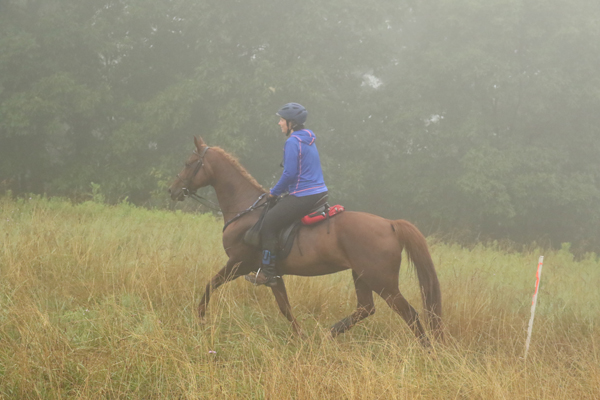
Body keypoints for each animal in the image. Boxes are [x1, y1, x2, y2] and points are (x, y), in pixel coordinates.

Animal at [168, 137, 440, 344]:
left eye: (188, 163)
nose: (172, 190)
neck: (247, 210)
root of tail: (390, 224)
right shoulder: (272, 275)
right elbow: (285, 308)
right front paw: (302, 338)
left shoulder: (239, 264)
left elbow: (209, 285)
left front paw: (200, 318)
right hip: (362, 276)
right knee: (365, 308)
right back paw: (328, 334)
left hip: (383, 283)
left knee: (411, 315)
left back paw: (427, 352)